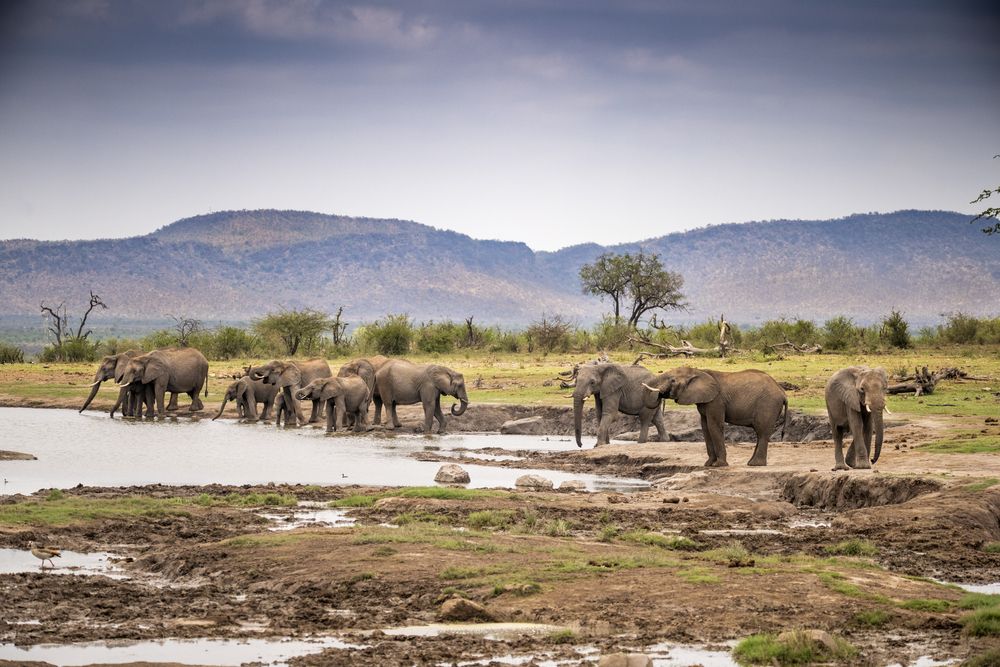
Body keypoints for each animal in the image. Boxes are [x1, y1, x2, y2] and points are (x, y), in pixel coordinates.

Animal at [643, 367, 788, 467]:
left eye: (672, 380)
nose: (662, 394)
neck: (699, 371)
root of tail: (782, 392)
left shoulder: (716, 400)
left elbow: (714, 426)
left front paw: (719, 465)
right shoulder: (705, 401)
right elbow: (705, 427)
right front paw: (708, 464)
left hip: (768, 404)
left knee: (762, 432)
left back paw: (755, 464)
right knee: (760, 433)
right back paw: (751, 463)